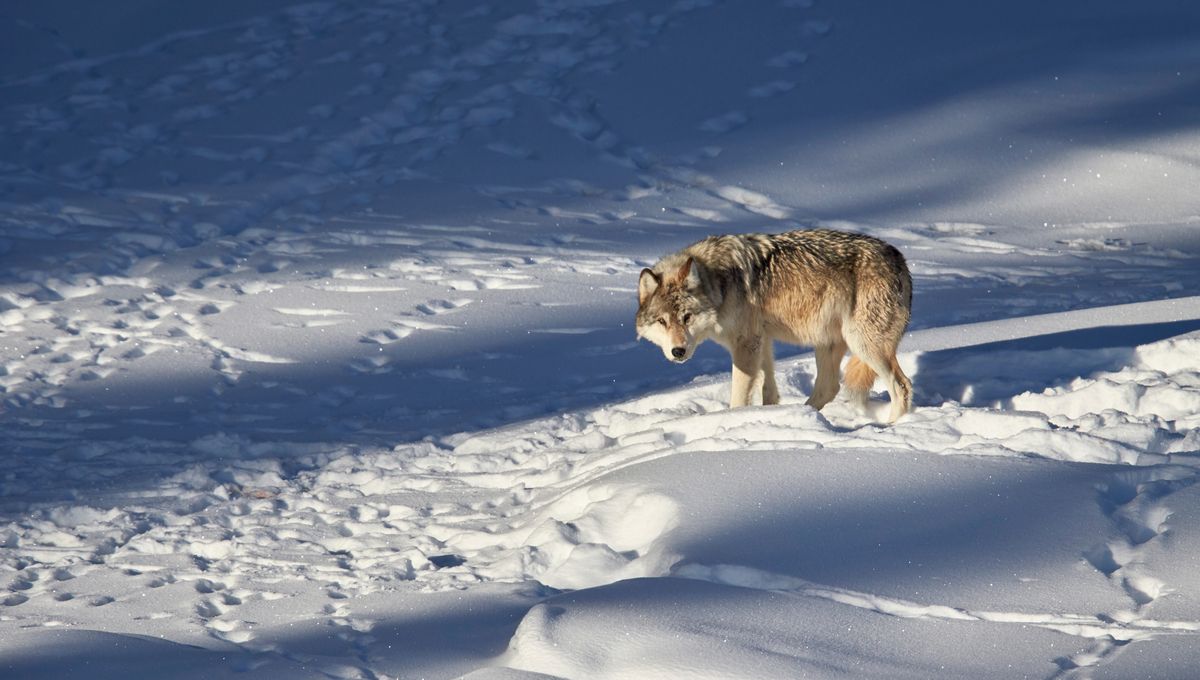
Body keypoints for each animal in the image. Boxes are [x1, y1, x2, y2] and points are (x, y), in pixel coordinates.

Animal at [635, 229, 913, 423]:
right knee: (828, 388)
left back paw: (890, 427)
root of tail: (900, 258)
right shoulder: (763, 340)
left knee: (902, 386)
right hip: (827, 344)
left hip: (864, 344)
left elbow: (739, 397)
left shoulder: (746, 344)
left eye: (687, 317)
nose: (678, 352)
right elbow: (768, 389)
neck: (718, 283)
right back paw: (802, 417)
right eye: (662, 321)